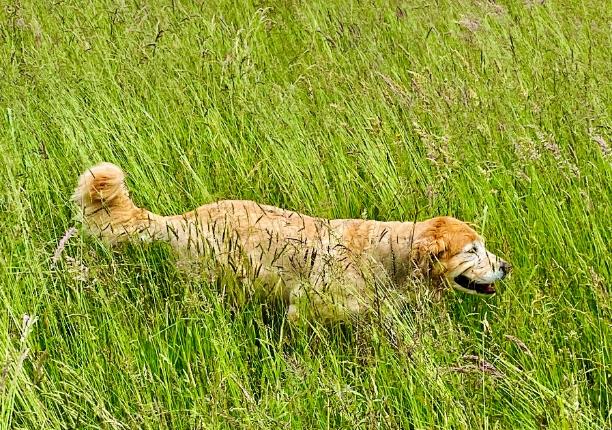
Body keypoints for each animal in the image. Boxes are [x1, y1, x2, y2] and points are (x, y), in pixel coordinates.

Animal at [73, 163, 512, 324]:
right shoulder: (305, 308)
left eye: (483, 246)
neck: (388, 256)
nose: (506, 266)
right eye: (472, 251)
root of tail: (184, 219)